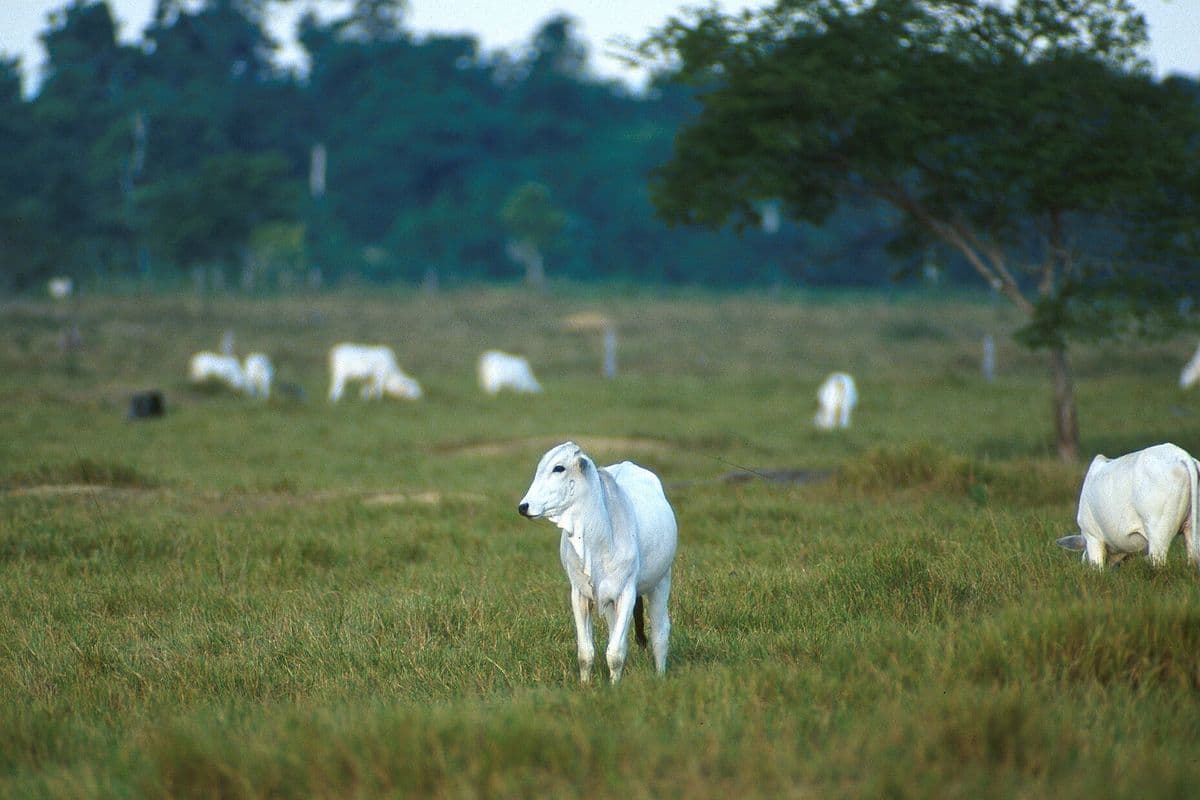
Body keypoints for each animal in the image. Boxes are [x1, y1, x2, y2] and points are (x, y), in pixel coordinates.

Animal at [518, 441, 678, 684]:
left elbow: (615, 653)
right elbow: (586, 653)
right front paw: (586, 685)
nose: (524, 506)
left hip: (661, 581)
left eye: (559, 468)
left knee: (660, 633)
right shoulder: (579, 594)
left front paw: (614, 687)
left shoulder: (627, 592)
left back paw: (660, 675)